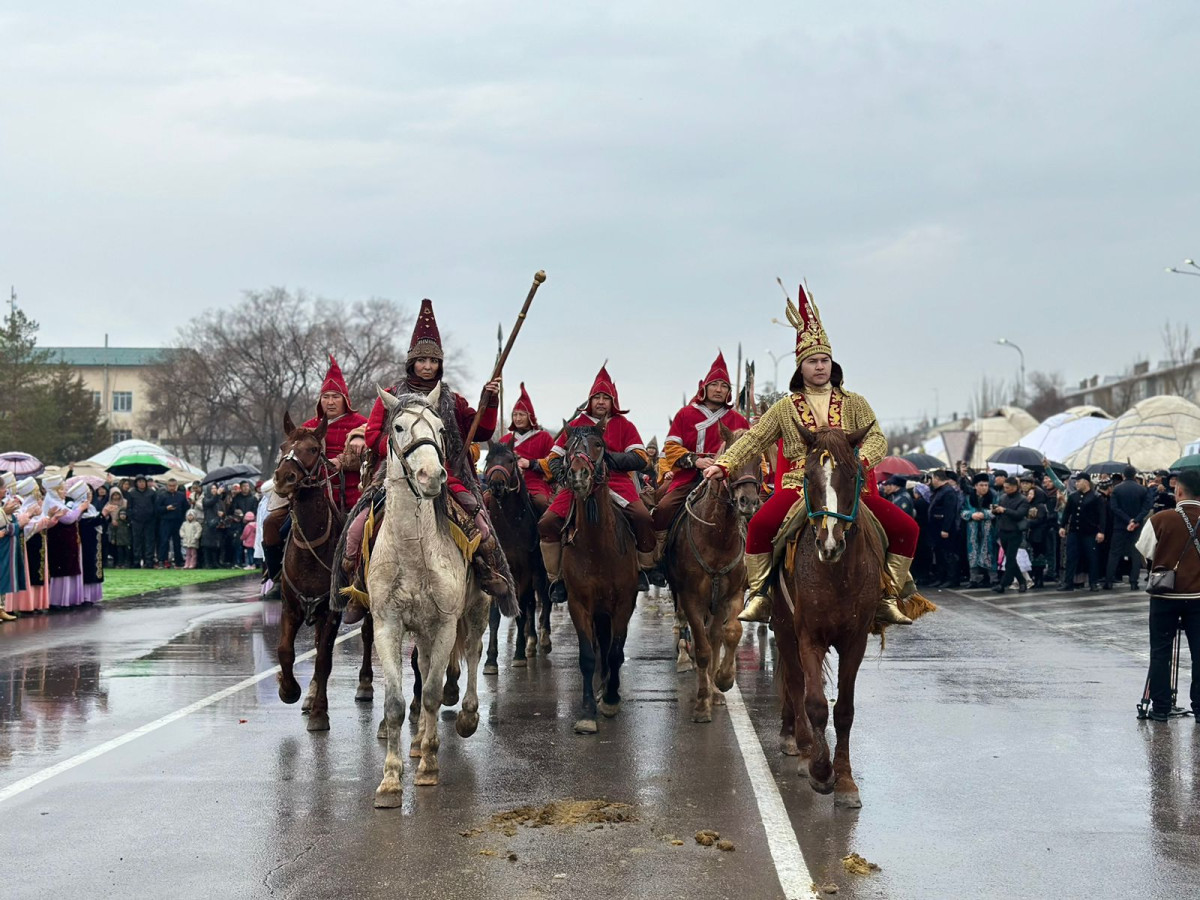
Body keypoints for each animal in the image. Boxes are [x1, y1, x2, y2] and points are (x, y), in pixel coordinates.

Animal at [372, 384, 489, 806]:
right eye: (398, 426)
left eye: (440, 428)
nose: (430, 475)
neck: (412, 552)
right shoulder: (387, 624)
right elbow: (396, 702)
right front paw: (391, 781)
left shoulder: (444, 624)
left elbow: (434, 694)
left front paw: (428, 767)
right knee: (422, 670)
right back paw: (418, 741)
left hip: (477, 608)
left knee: (472, 651)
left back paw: (466, 716)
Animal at [480, 441, 549, 672]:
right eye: (488, 459)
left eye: (511, 460)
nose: (497, 485)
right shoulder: (498, 573)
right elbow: (494, 616)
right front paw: (491, 660)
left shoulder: (525, 572)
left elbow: (521, 611)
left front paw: (519, 655)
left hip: (540, 573)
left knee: (542, 600)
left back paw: (541, 639)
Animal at [559, 427, 638, 734]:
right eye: (569, 446)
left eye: (597, 445)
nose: (578, 474)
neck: (597, 548)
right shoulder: (579, 604)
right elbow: (588, 656)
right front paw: (587, 712)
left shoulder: (624, 604)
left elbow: (616, 652)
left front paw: (612, 700)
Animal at [662, 424, 763, 724]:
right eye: (733, 458)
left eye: (760, 459)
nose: (748, 502)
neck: (718, 538)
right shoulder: (691, 598)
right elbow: (703, 648)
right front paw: (701, 703)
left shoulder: (733, 595)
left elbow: (731, 633)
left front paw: (724, 680)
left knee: (716, 635)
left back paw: (717, 691)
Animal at [772, 422, 888, 811]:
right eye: (808, 475)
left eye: (853, 475)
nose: (830, 543)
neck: (837, 574)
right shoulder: (809, 636)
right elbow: (815, 703)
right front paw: (821, 772)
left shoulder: (855, 641)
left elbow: (845, 711)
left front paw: (846, 781)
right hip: (783, 627)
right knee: (794, 684)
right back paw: (802, 746)